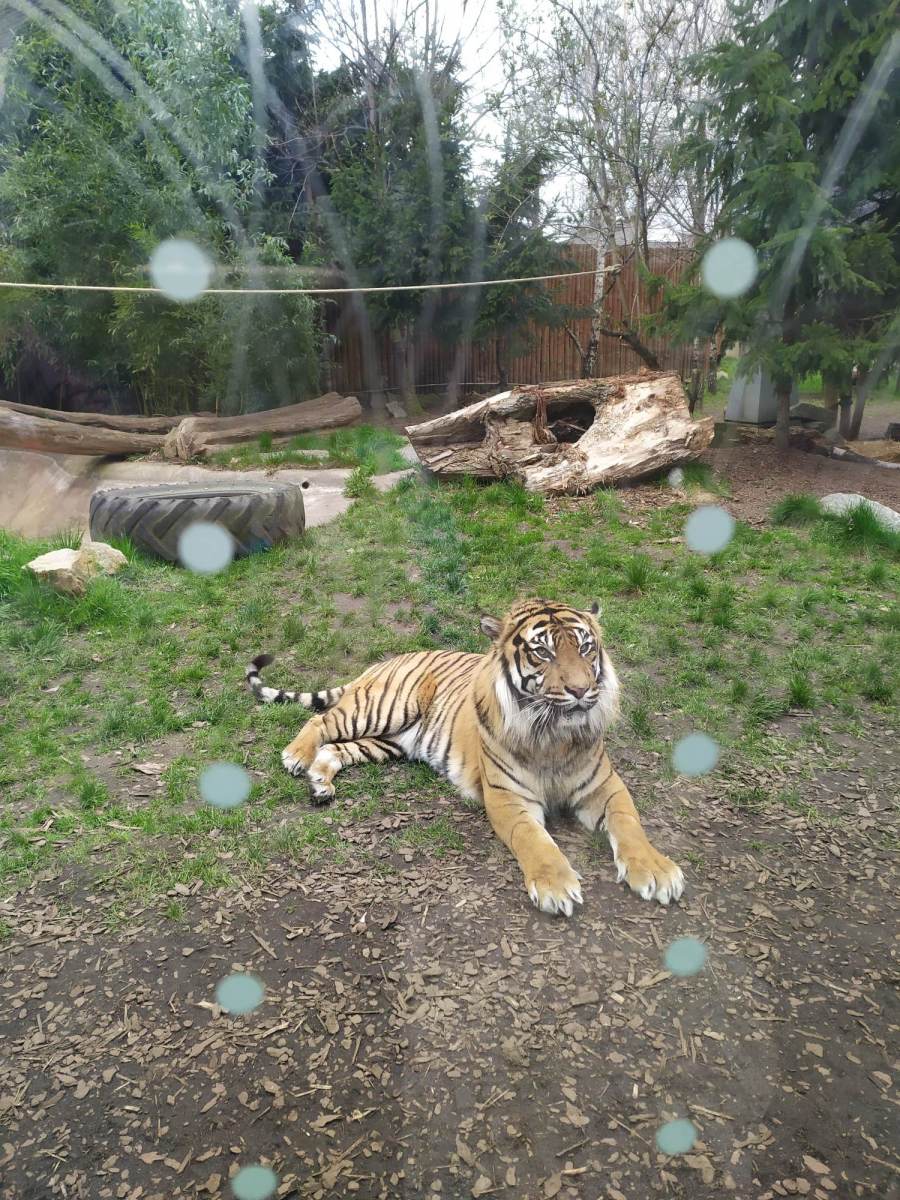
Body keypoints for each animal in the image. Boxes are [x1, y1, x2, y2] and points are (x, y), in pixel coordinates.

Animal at [245, 597, 684, 917]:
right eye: (542, 653)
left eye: (586, 647)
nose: (581, 691)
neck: (554, 735)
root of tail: (382, 663)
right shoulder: (507, 798)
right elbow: (534, 841)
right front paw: (556, 886)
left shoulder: (606, 787)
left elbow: (629, 824)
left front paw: (657, 871)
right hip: (382, 708)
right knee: (321, 720)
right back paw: (296, 756)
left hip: (388, 741)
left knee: (335, 749)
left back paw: (321, 785)